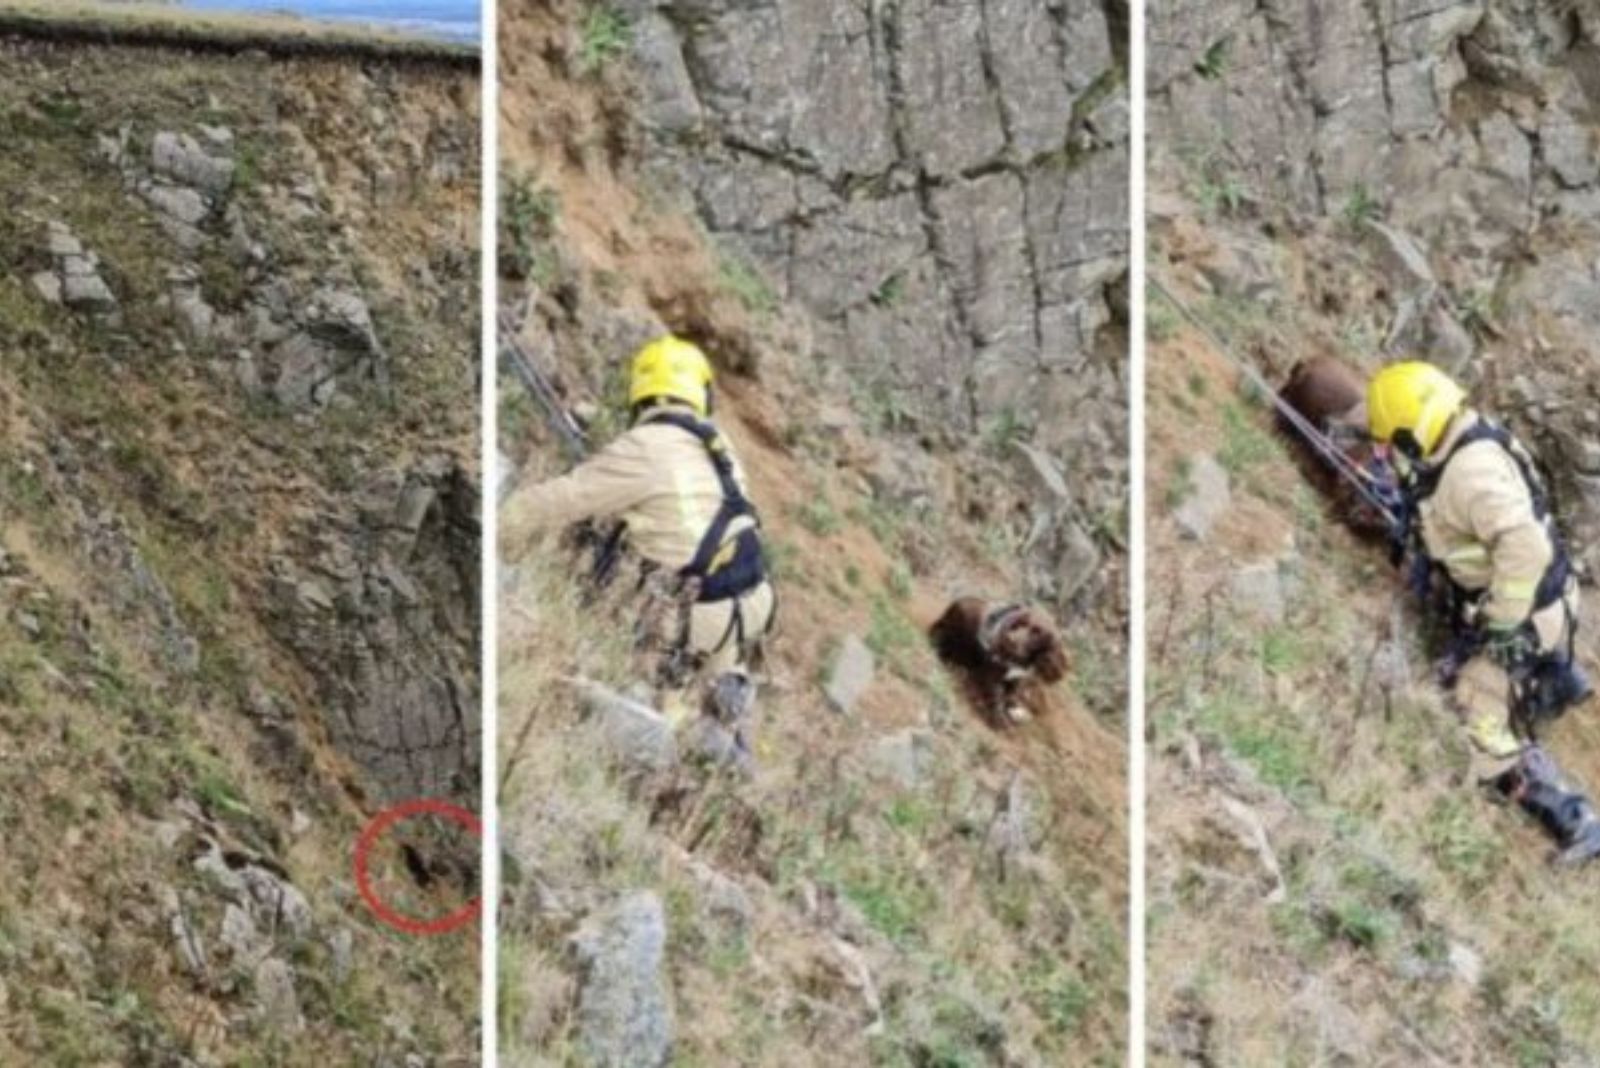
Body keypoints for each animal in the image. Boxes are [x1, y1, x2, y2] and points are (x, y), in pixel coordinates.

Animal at [934, 601, 1068, 725]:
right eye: (1021, 623)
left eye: (1037, 632)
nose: (1010, 639)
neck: (1018, 661)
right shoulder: (992, 676)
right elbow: (996, 697)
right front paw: (999, 719)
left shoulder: (1017, 680)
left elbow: (1012, 696)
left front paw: (1016, 711)